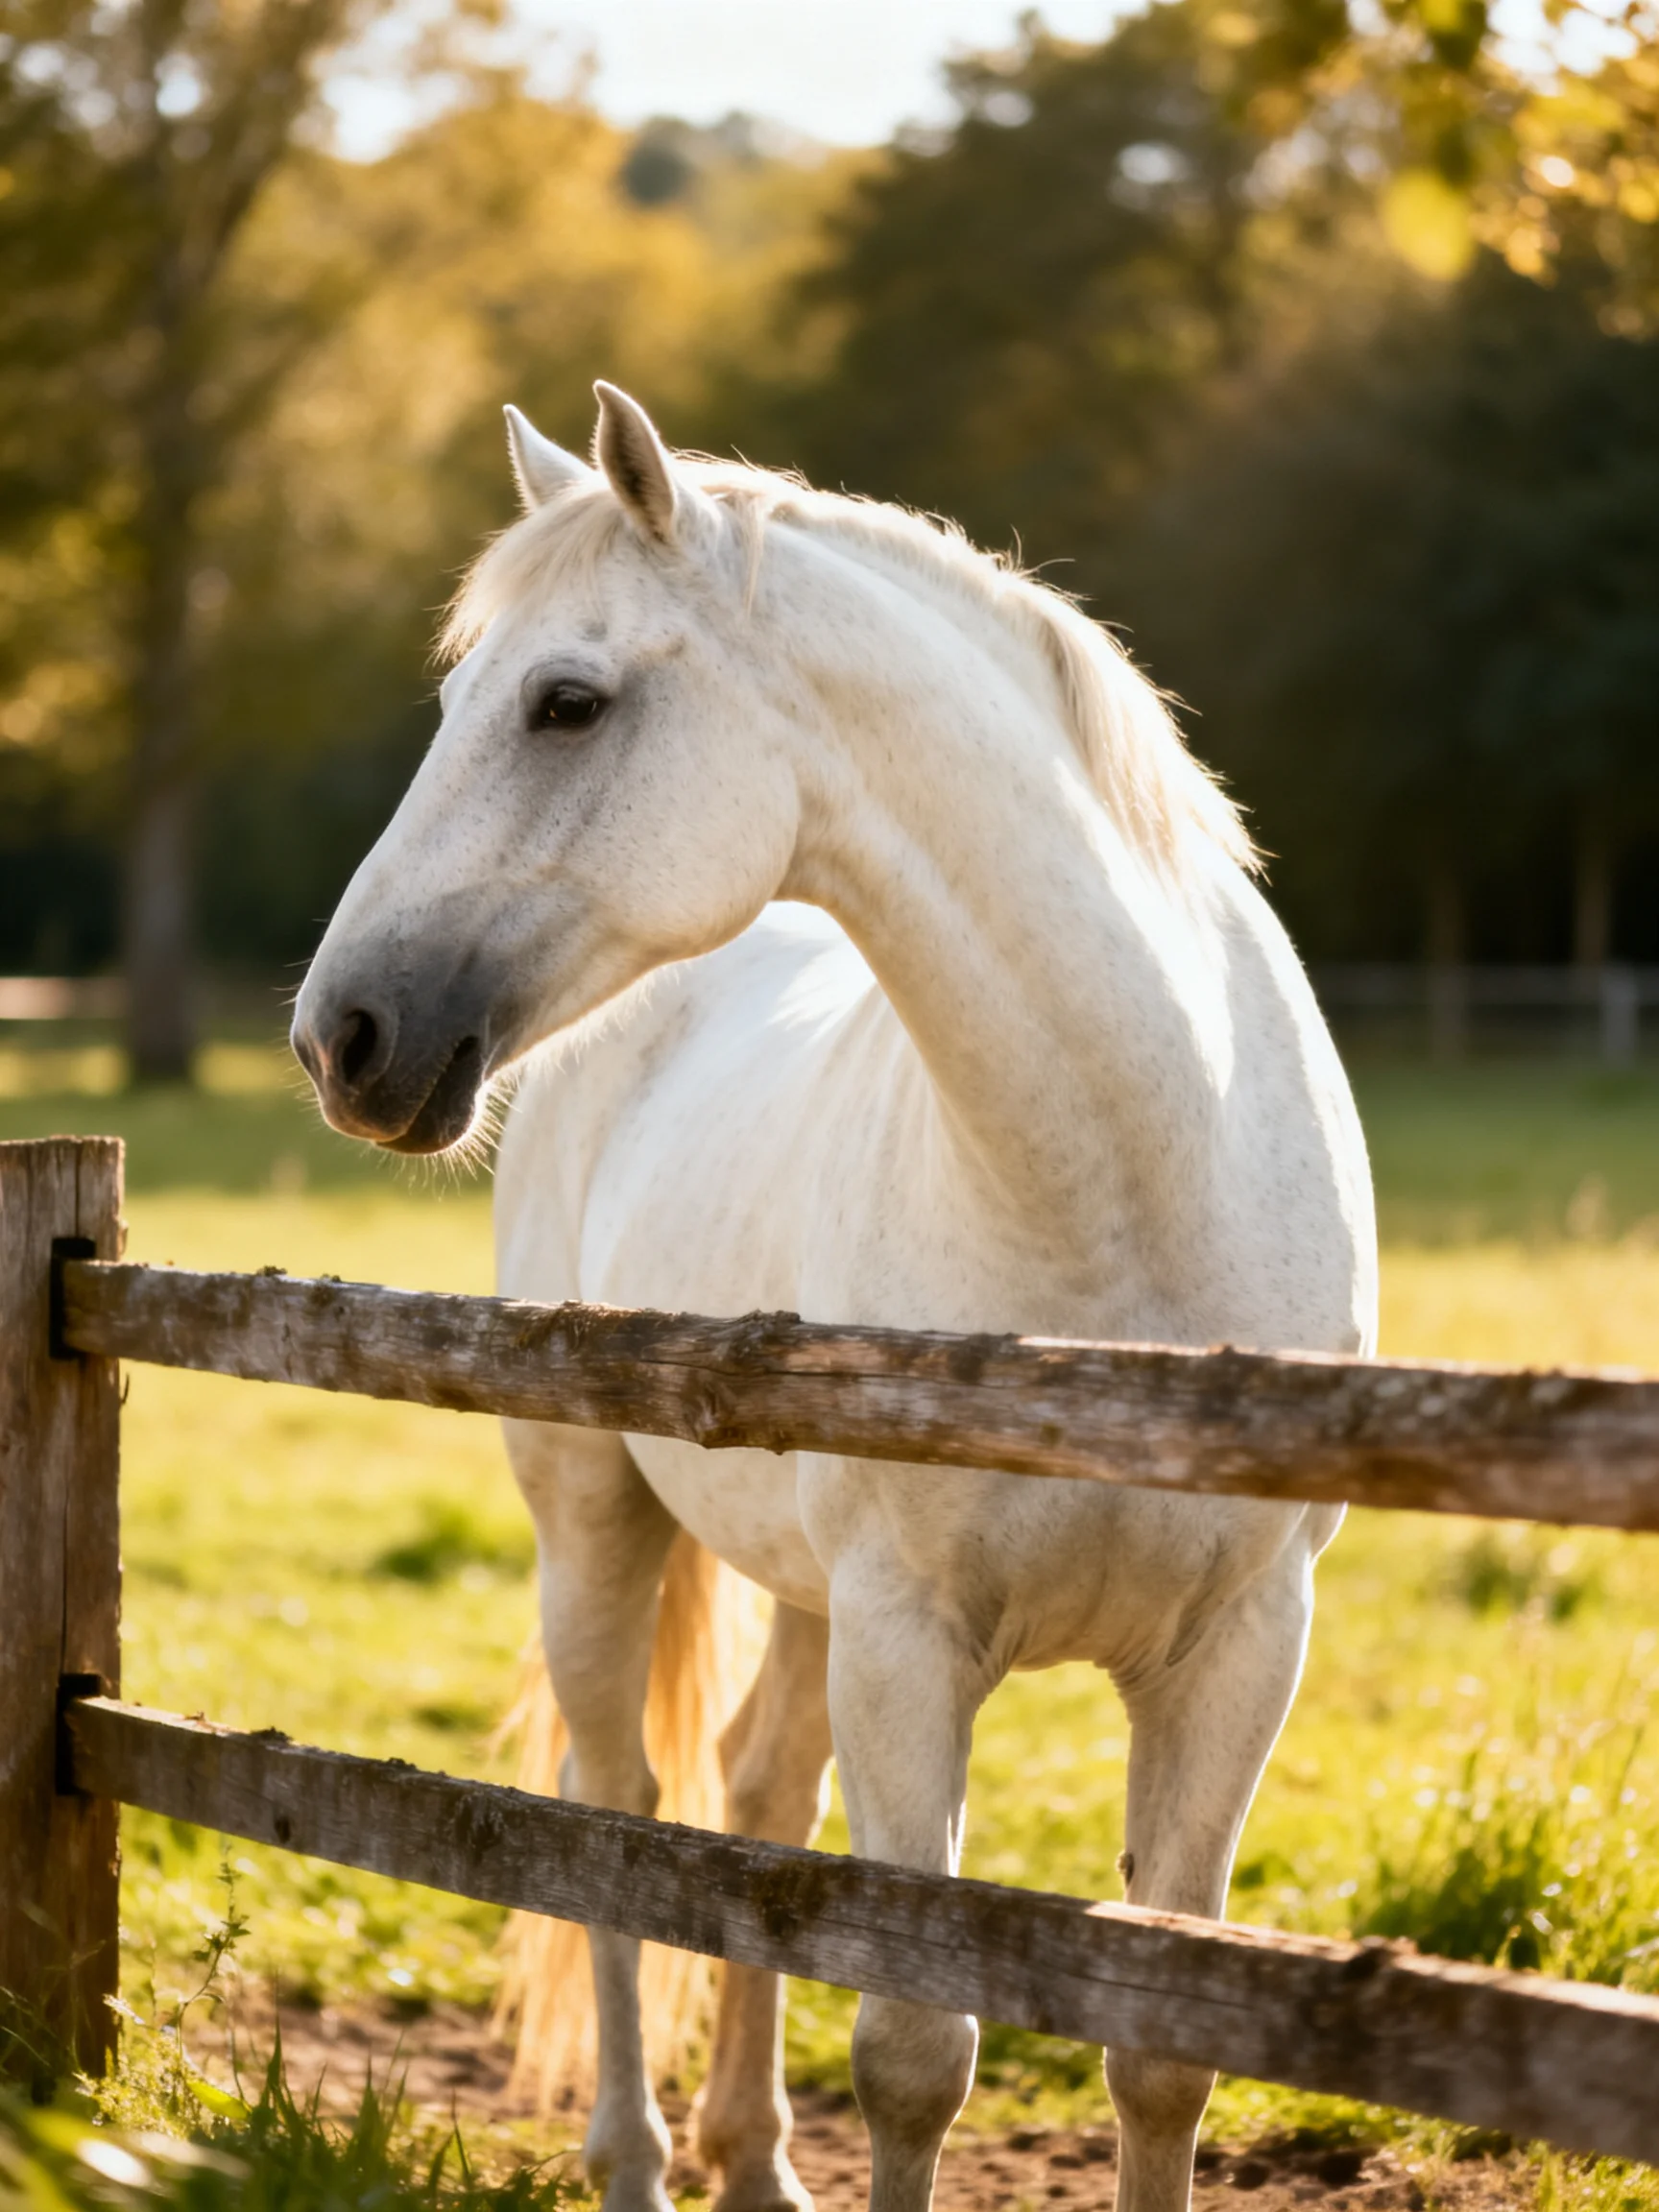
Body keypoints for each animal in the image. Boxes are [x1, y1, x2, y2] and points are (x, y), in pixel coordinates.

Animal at [292, 382, 1377, 2212]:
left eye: (563, 701)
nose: (340, 1035)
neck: (1125, 1214)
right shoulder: (908, 1642)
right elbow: (915, 2051)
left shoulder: (1240, 1649)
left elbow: (1162, 2052)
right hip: (597, 1517)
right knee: (616, 1799)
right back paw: (642, 2159)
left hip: (802, 1592)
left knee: (760, 1798)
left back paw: (750, 2155)